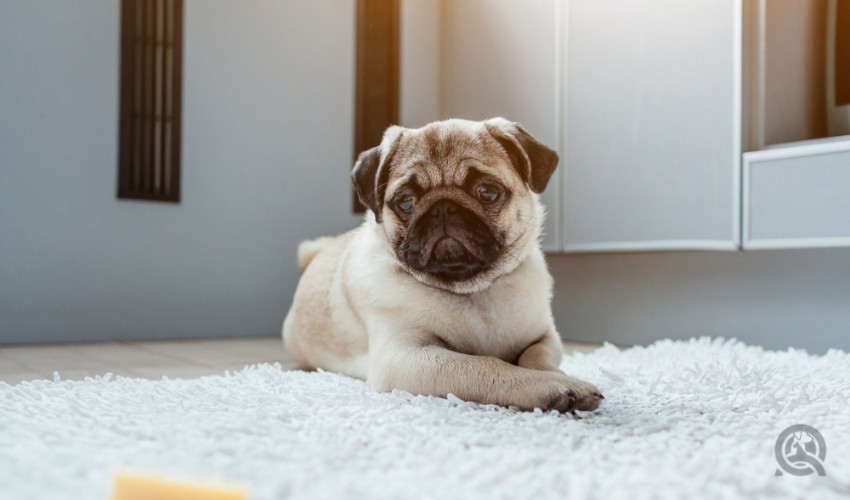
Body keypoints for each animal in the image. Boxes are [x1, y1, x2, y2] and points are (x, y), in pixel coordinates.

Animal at [284, 119, 604, 412]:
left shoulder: (546, 337)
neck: (473, 291)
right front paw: (553, 386)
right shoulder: (404, 358)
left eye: (487, 192)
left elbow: (537, 357)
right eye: (406, 201)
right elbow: (487, 366)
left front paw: (557, 375)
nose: (443, 207)